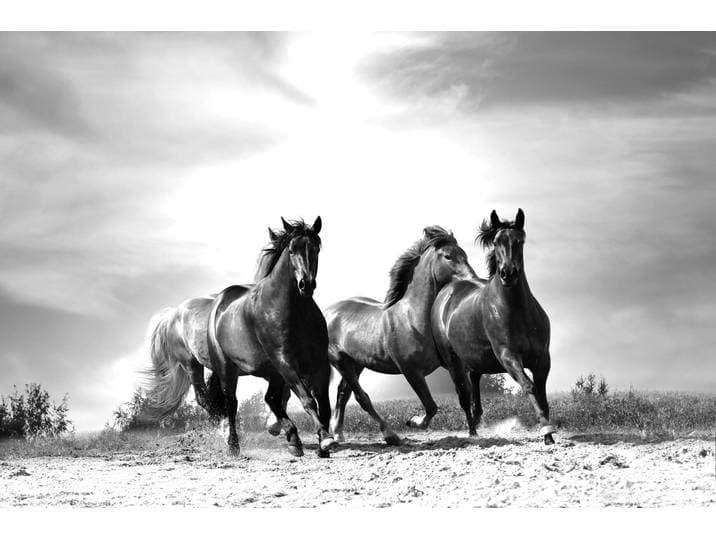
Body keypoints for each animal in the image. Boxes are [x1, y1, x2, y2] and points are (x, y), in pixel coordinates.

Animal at [142, 217, 336, 457]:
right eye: (291, 250)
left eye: (316, 248)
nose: (306, 284)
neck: (294, 311)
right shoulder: (285, 362)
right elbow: (308, 400)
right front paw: (326, 440)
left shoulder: (319, 364)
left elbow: (324, 405)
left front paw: (322, 444)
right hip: (213, 367)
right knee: (227, 403)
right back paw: (233, 444)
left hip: (266, 372)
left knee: (269, 399)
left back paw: (292, 439)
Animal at [324, 226, 477, 445]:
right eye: (448, 256)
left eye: (464, 254)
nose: (471, 278)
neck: (413, 317)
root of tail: (328, 312)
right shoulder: (410, 370)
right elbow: (431, 406)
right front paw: (413, 421)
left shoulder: (450, 364)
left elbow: (464, 394)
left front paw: (473, 432)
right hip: (341, 362)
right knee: (362, 398)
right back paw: (390, 435)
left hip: (356, 363)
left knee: (343, 393)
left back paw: (338, 433)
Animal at [431, 209, 557, 445]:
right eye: (497, 241)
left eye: (520, 241)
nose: (508, 273)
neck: (517, 310)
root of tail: (447, 290)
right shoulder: (508, 356)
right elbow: (529, 387)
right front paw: (546, 430)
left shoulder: (543, 359)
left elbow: (542, 393)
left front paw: (549, 435)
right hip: (453, 362)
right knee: (463, 395)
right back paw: (472, 431)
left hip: (475, 358)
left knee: (474, 380)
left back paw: (478, 419)